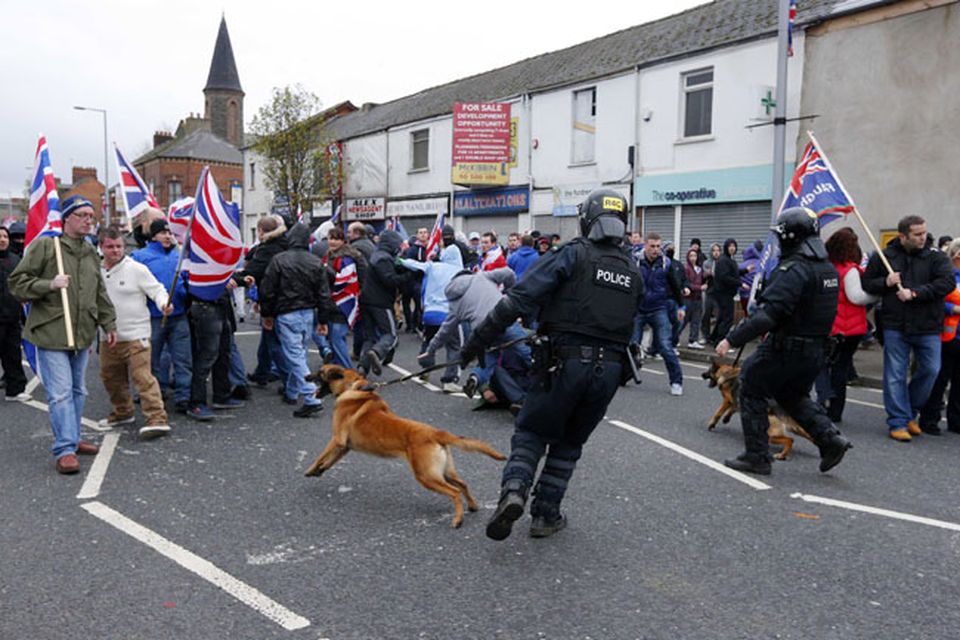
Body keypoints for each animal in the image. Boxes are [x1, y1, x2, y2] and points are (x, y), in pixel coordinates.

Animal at [306, 362, 510, 528]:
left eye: (320, 372)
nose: (306, 376)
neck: (353, 387)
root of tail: (435, 432)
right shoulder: (345, 447)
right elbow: (330, 460)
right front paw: (320, 470)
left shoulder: (337, 440)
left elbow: (320, 455)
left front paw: (310, 470)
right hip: (444, 472)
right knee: (463, 484)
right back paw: (473, 506)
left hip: (426, 476)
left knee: (454, 492)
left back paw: (458, 519)